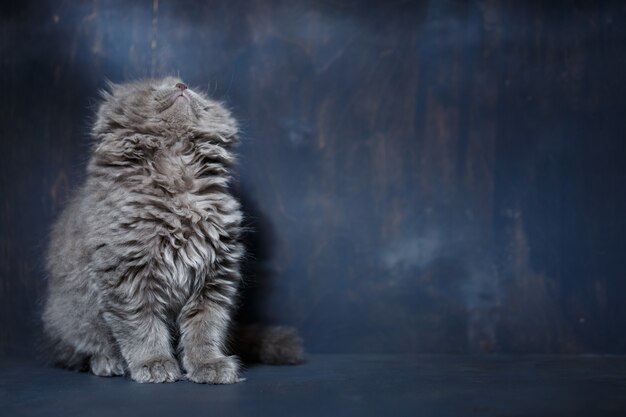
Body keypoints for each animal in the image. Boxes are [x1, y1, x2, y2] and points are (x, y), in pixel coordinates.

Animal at [42, 76, 302, 382]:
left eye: (192, 89)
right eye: (156, 87)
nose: (180, 86)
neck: (178, 174)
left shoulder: (215, 277)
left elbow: (205, 327)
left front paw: (207, 364)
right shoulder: (127, 275)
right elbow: (141, 326)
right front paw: (153, 362)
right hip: (70, 316)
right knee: (79, 349)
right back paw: (107, 361)